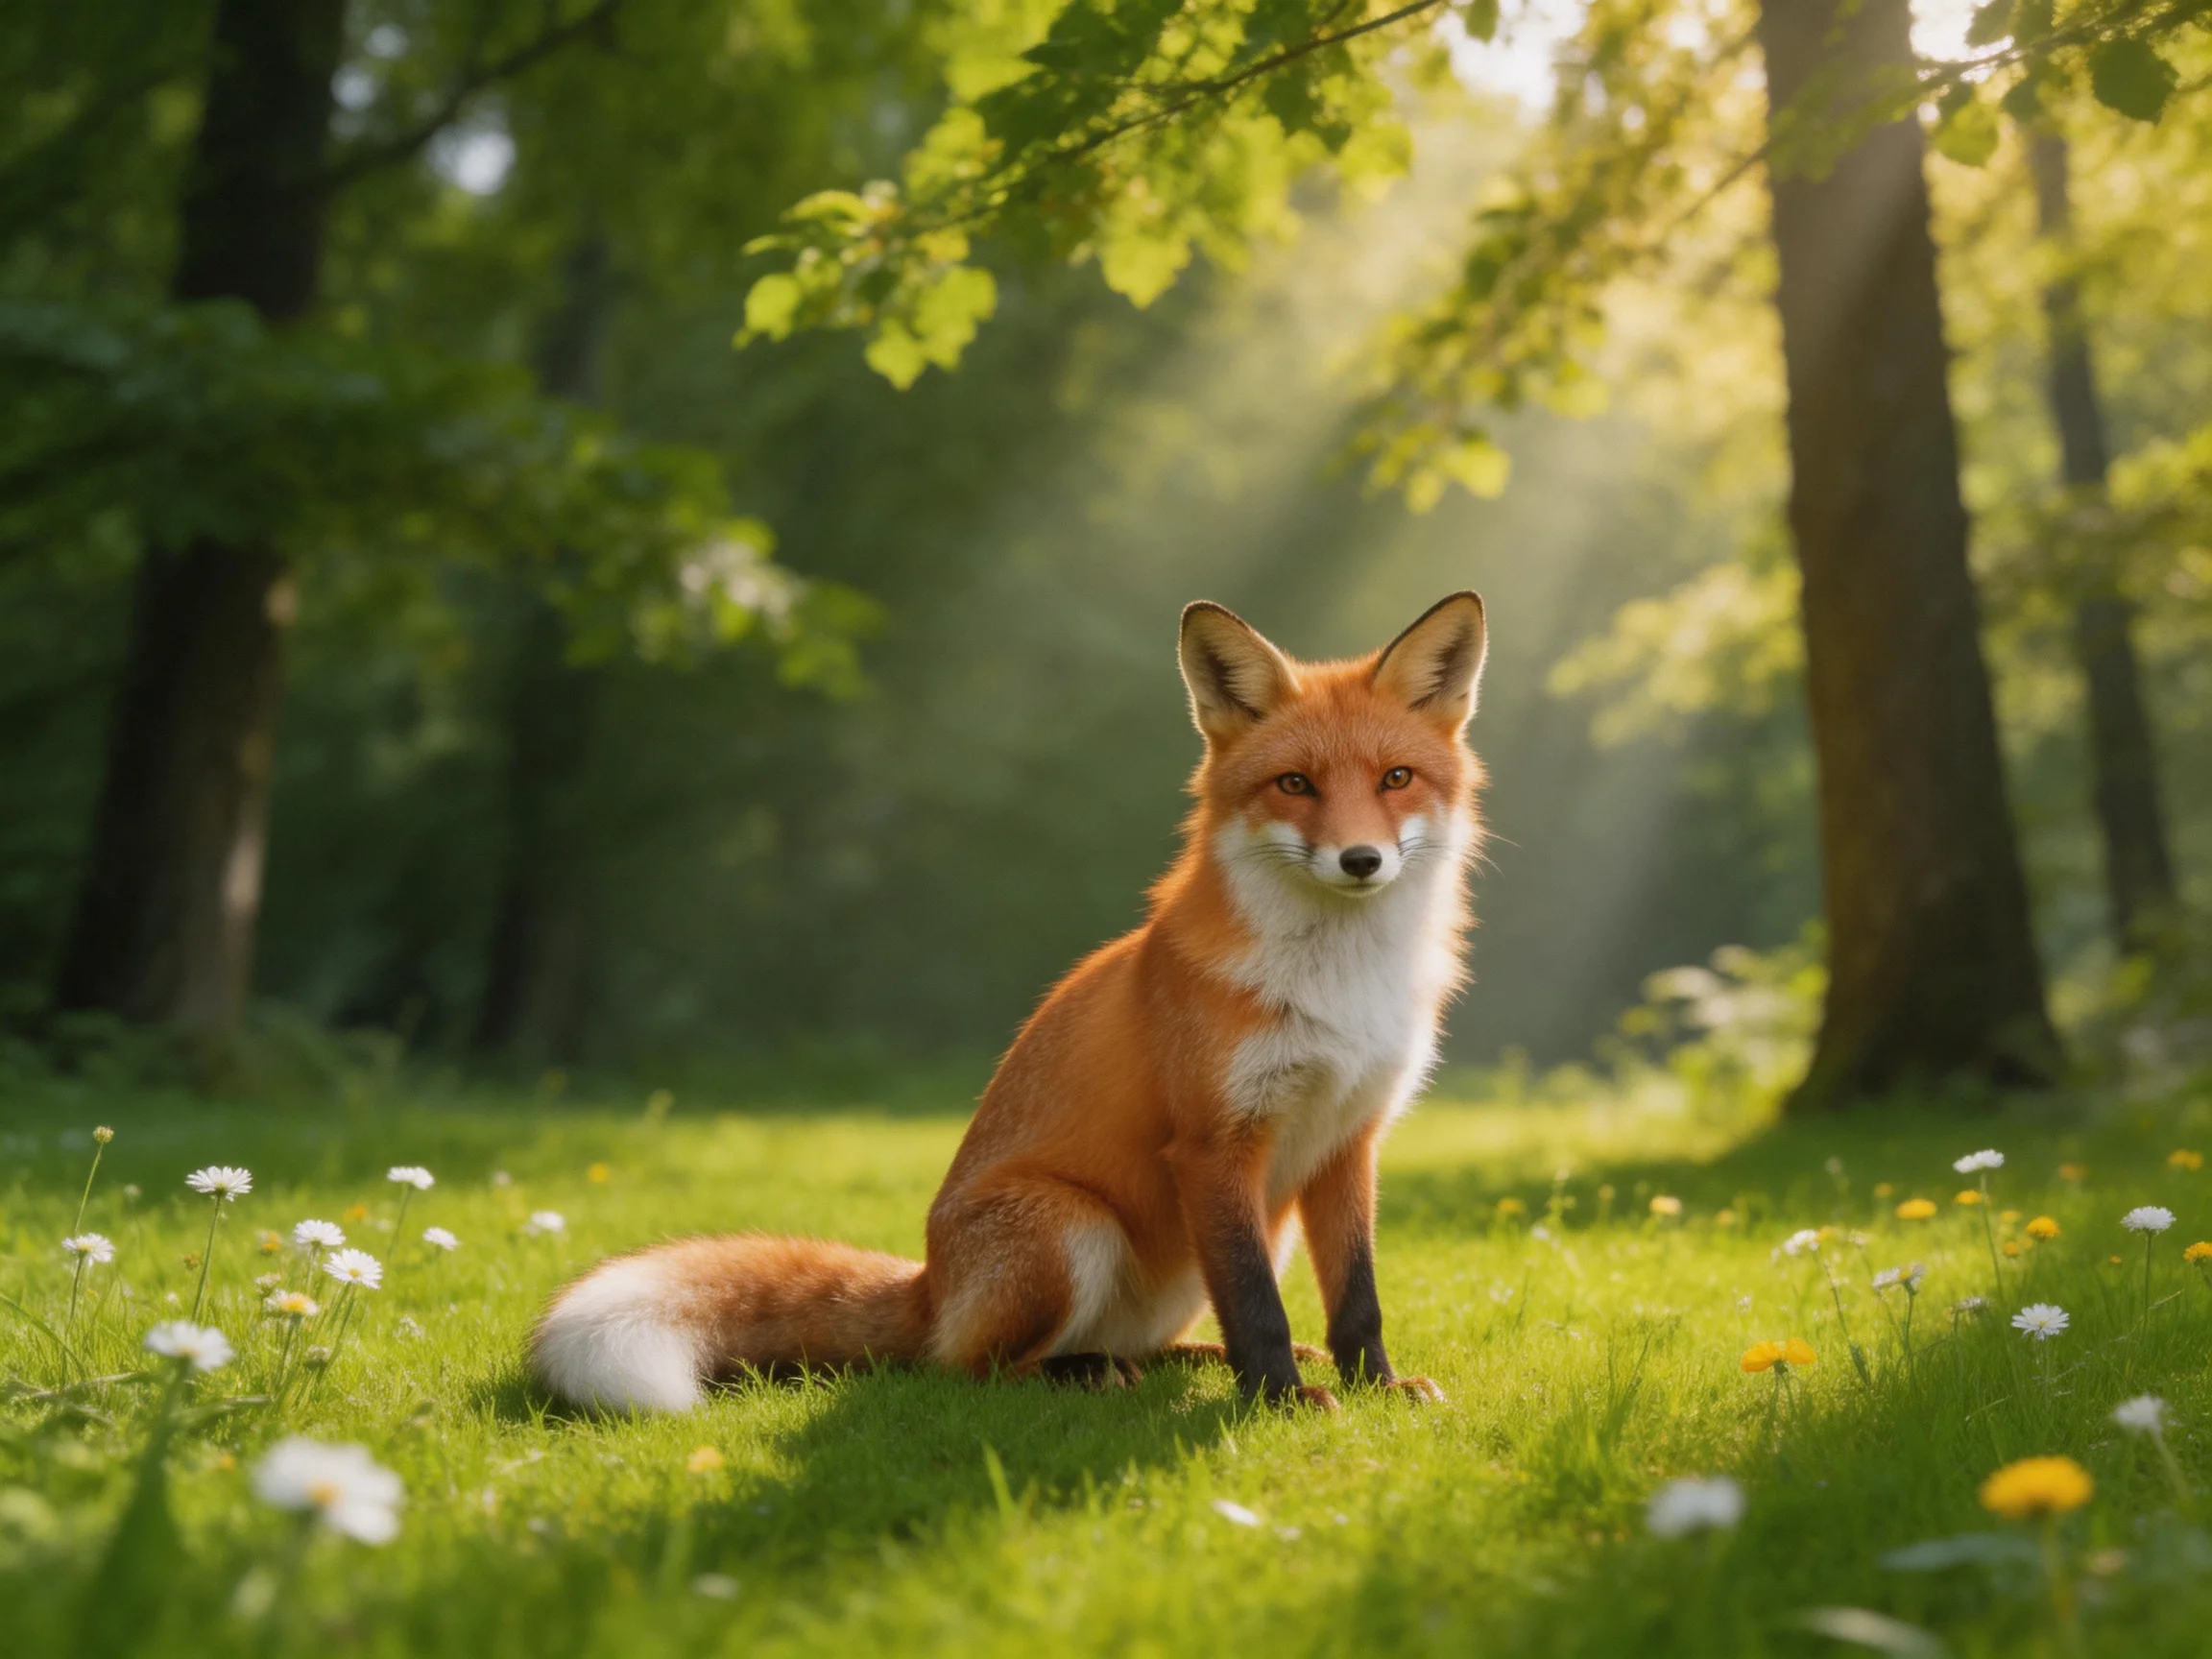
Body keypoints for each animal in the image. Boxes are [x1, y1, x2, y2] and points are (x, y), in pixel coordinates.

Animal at [531, 591, 1488, 1413]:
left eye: (1396, 777)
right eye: (1295, 785)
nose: (1361, 860)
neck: (1340, 985)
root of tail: (928, 1284)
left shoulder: (1349, 1141)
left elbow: (1356, 1296)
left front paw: (1375, 1386)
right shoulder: (1214, 1144)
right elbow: (1257, 1304)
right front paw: (1280, 1399)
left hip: (1228, 1238)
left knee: (1140, 1343)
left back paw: (1181, 1359)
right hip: (1070, 1224)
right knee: (972, 1369)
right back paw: (1084, 1373)